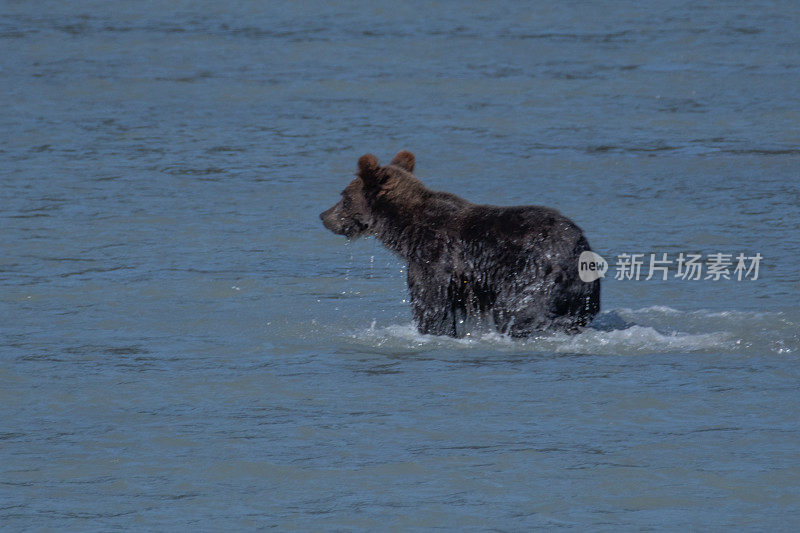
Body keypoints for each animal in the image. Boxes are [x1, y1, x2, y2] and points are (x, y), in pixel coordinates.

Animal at [318, 149, 600, 336]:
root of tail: (579, 248)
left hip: (532, 272)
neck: (406, 233)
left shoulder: (434, 261)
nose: (323, 216)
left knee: (517, 310)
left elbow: (431, 307)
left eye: (344, 197)